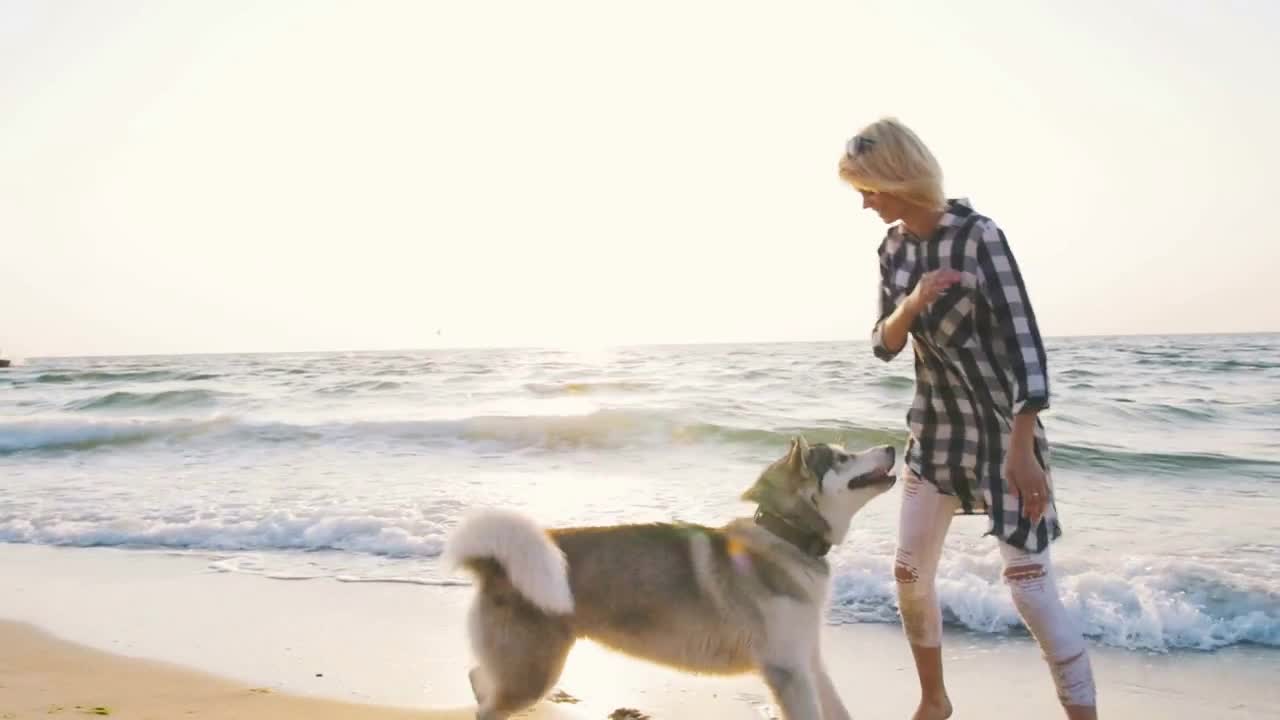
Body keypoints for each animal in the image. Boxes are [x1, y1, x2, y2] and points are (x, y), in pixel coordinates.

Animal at [445, 435, 896, 712]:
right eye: (843, 458)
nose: (893, 446)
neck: (783, 536)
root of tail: (494, 562)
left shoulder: (809, 662)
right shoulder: (788, 670)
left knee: (478, 677)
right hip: (533, 674)